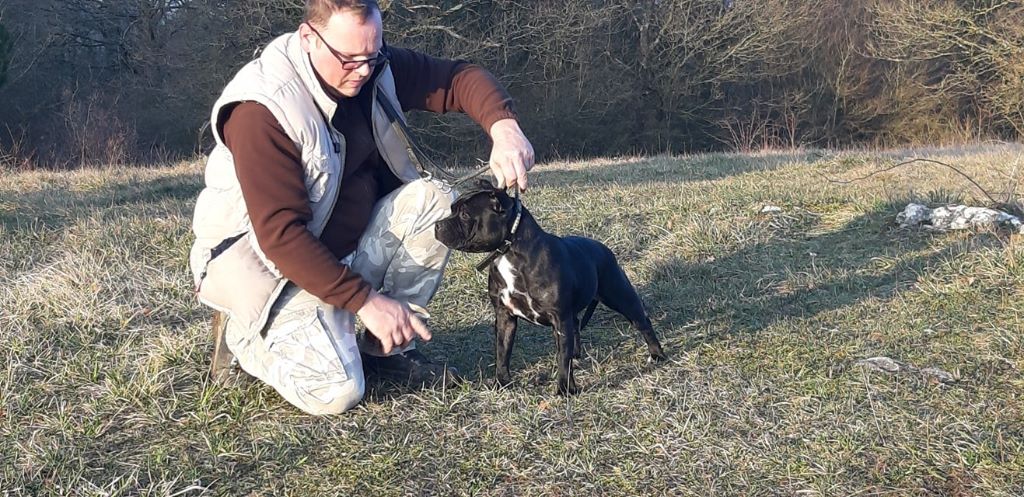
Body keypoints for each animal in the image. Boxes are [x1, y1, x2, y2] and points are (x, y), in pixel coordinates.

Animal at [434, 179, 666, 395]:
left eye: (465, 215)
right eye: (452, 209)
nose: (437, 225)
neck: (509, 251)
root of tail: (604, 248)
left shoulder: (559, 318)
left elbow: (562, 359)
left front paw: (565, 390)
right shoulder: (504, 316)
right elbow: (502, 352)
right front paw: (502, 383)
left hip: (620, 295)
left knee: (642, 321)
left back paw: (657, 354)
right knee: (576, 325)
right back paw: (576, 354)